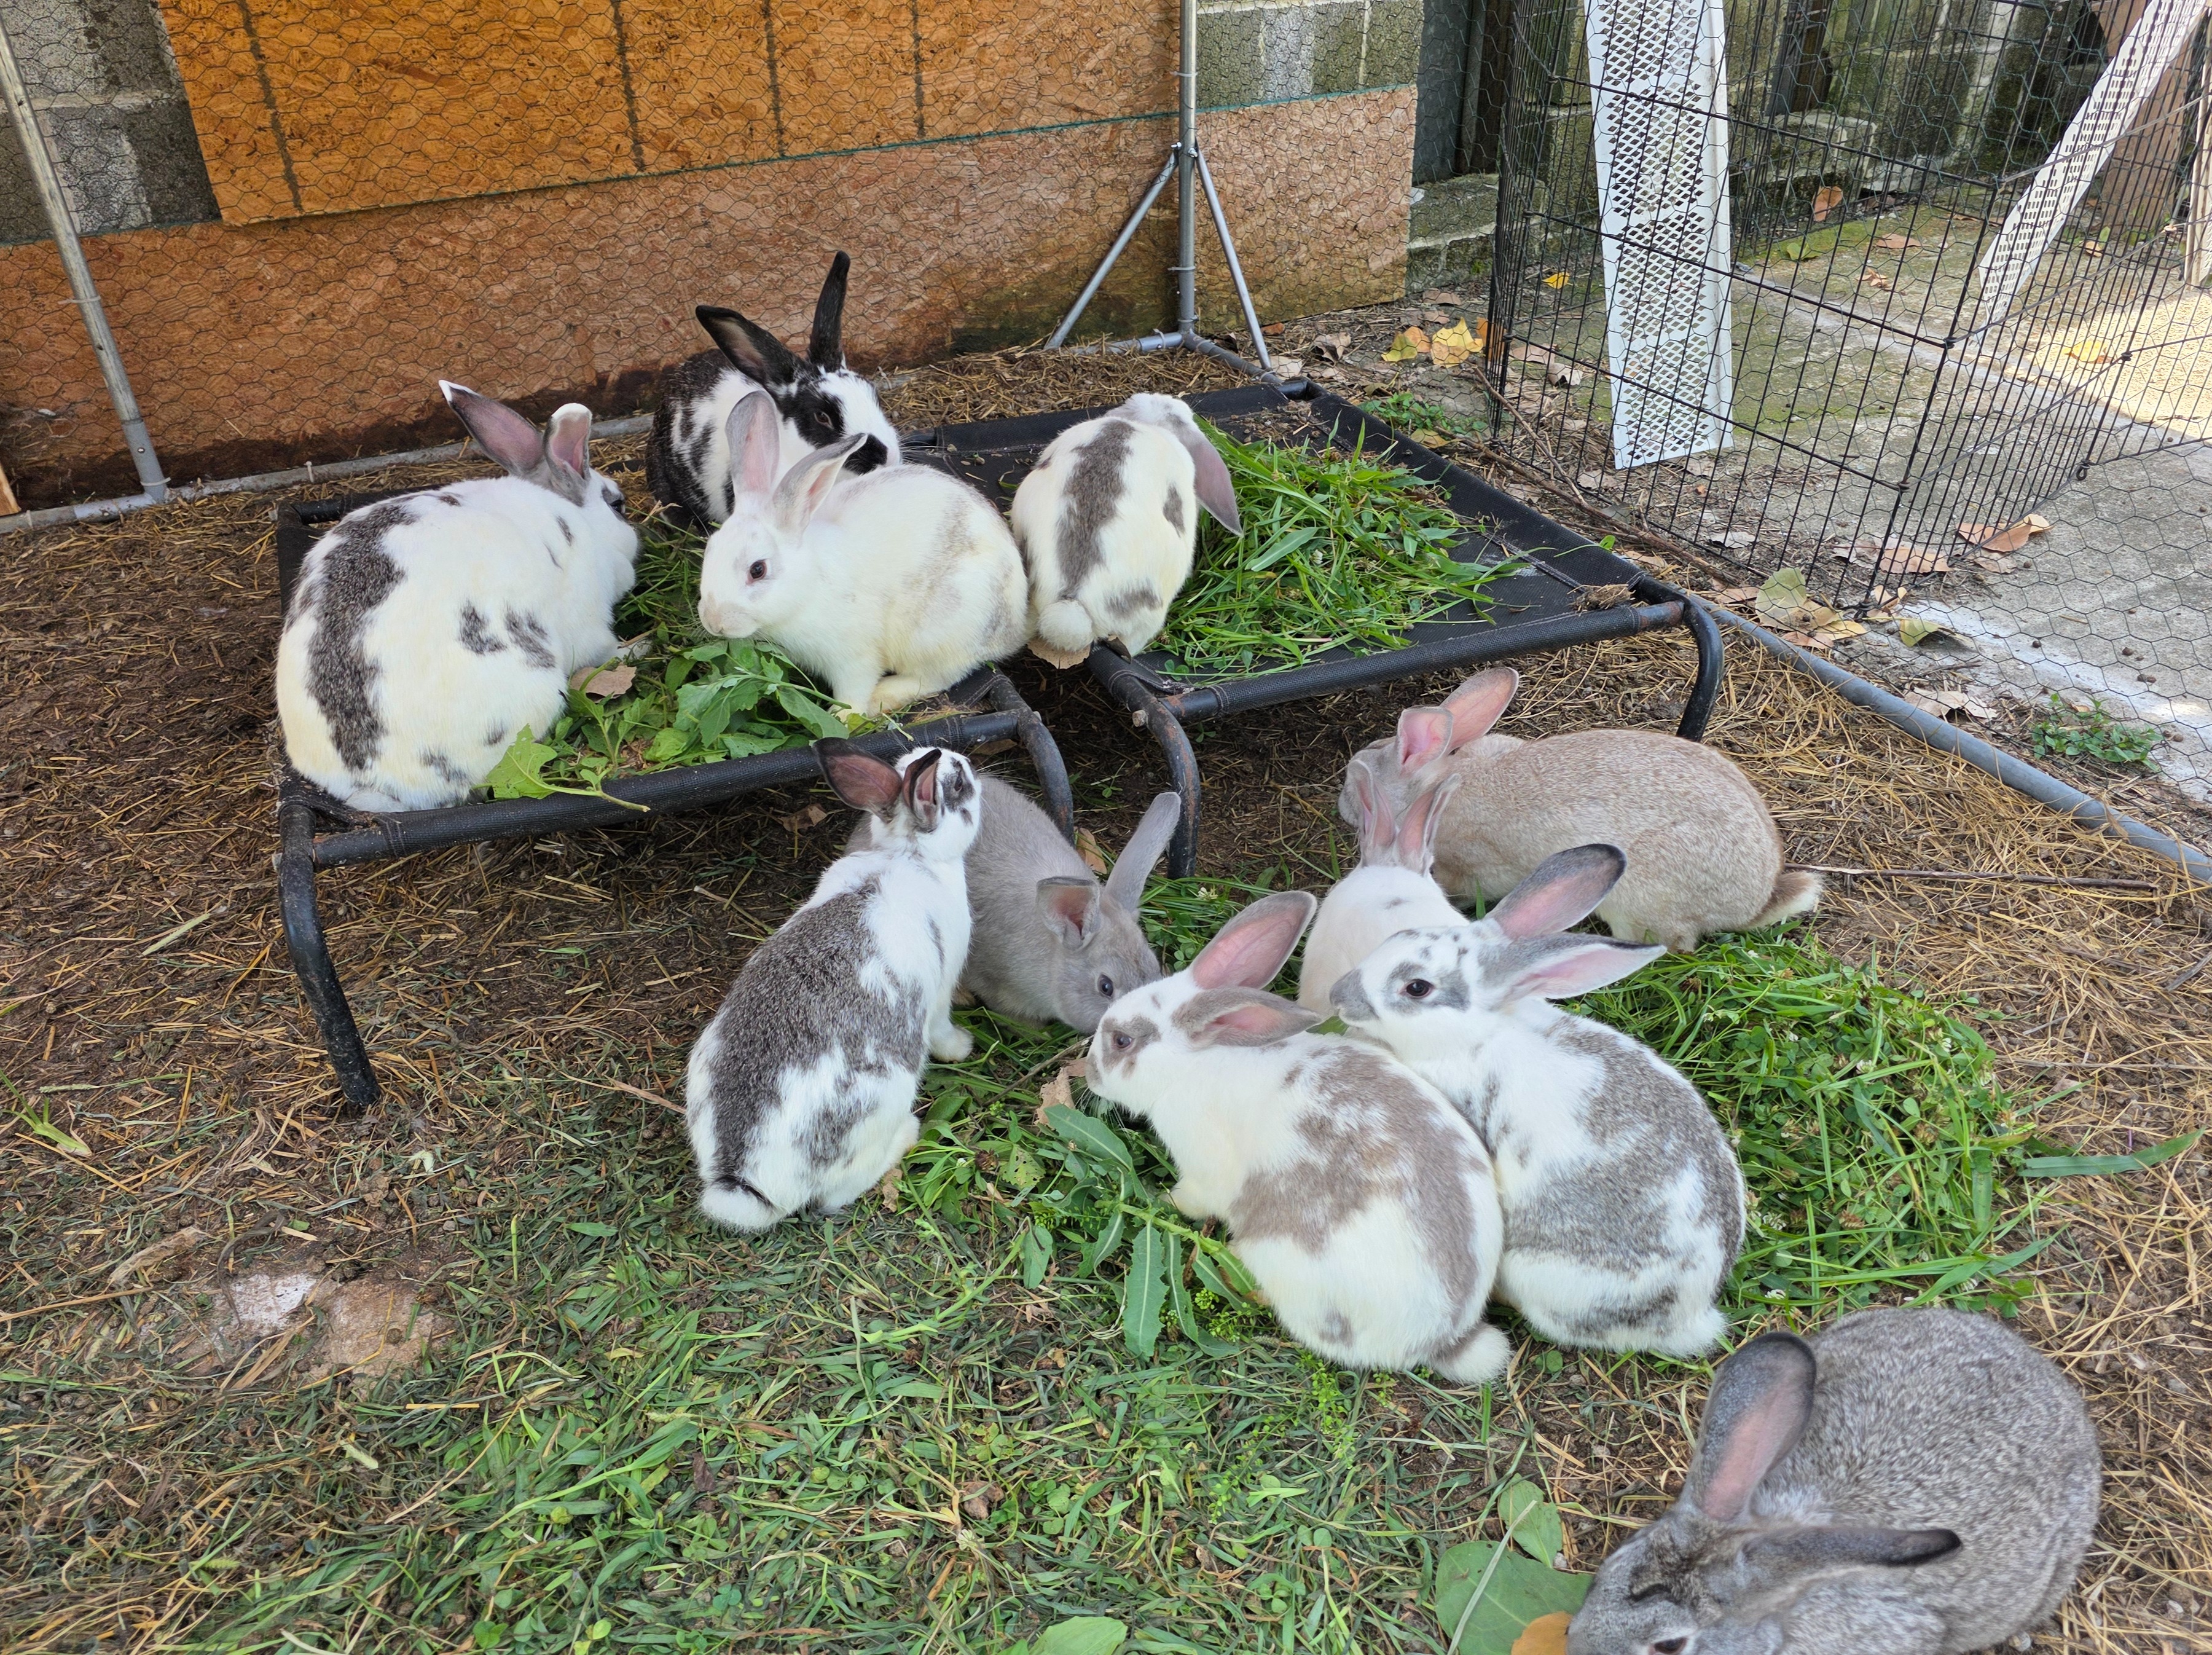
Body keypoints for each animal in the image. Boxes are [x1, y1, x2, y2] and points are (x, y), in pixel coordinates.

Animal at [274, 383, 638, 813]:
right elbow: (606, 652)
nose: (636, 538)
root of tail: (373, 782)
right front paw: (639, 649)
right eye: (617, 505)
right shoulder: (589, 627)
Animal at [685, 742, 981, 1232]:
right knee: (838, 1195)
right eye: (958, 783)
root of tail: (747, 1181)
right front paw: (962, 1047)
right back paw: (907, 1135)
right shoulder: (941, 990)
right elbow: (941, 1028)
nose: (969, 764)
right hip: (884, 1101)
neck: (907, 853)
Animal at [697, 391, 1029, 716]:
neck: (810, 585)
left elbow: (854, 690)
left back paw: (885, 696)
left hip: (937, 635)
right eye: (710, 550)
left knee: (935, 677)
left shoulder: (853, 658)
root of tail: (1015, 624)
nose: (714, 622)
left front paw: (843, 717)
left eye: (758, 570)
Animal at [1087, 891, 1512, 1384]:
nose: (1088, 1074)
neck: (1195, 1062)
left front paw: (1163, 1201)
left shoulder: (1203, 1166)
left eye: (1122, 1041)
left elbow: (1194, 1198)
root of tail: (1445, 1337)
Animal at [1340, 668, 1820, 951]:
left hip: (1640, 897)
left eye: (1355, 782)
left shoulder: (1472, 866)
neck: (1435, 782)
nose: (1342, 805)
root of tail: (1753, 903)